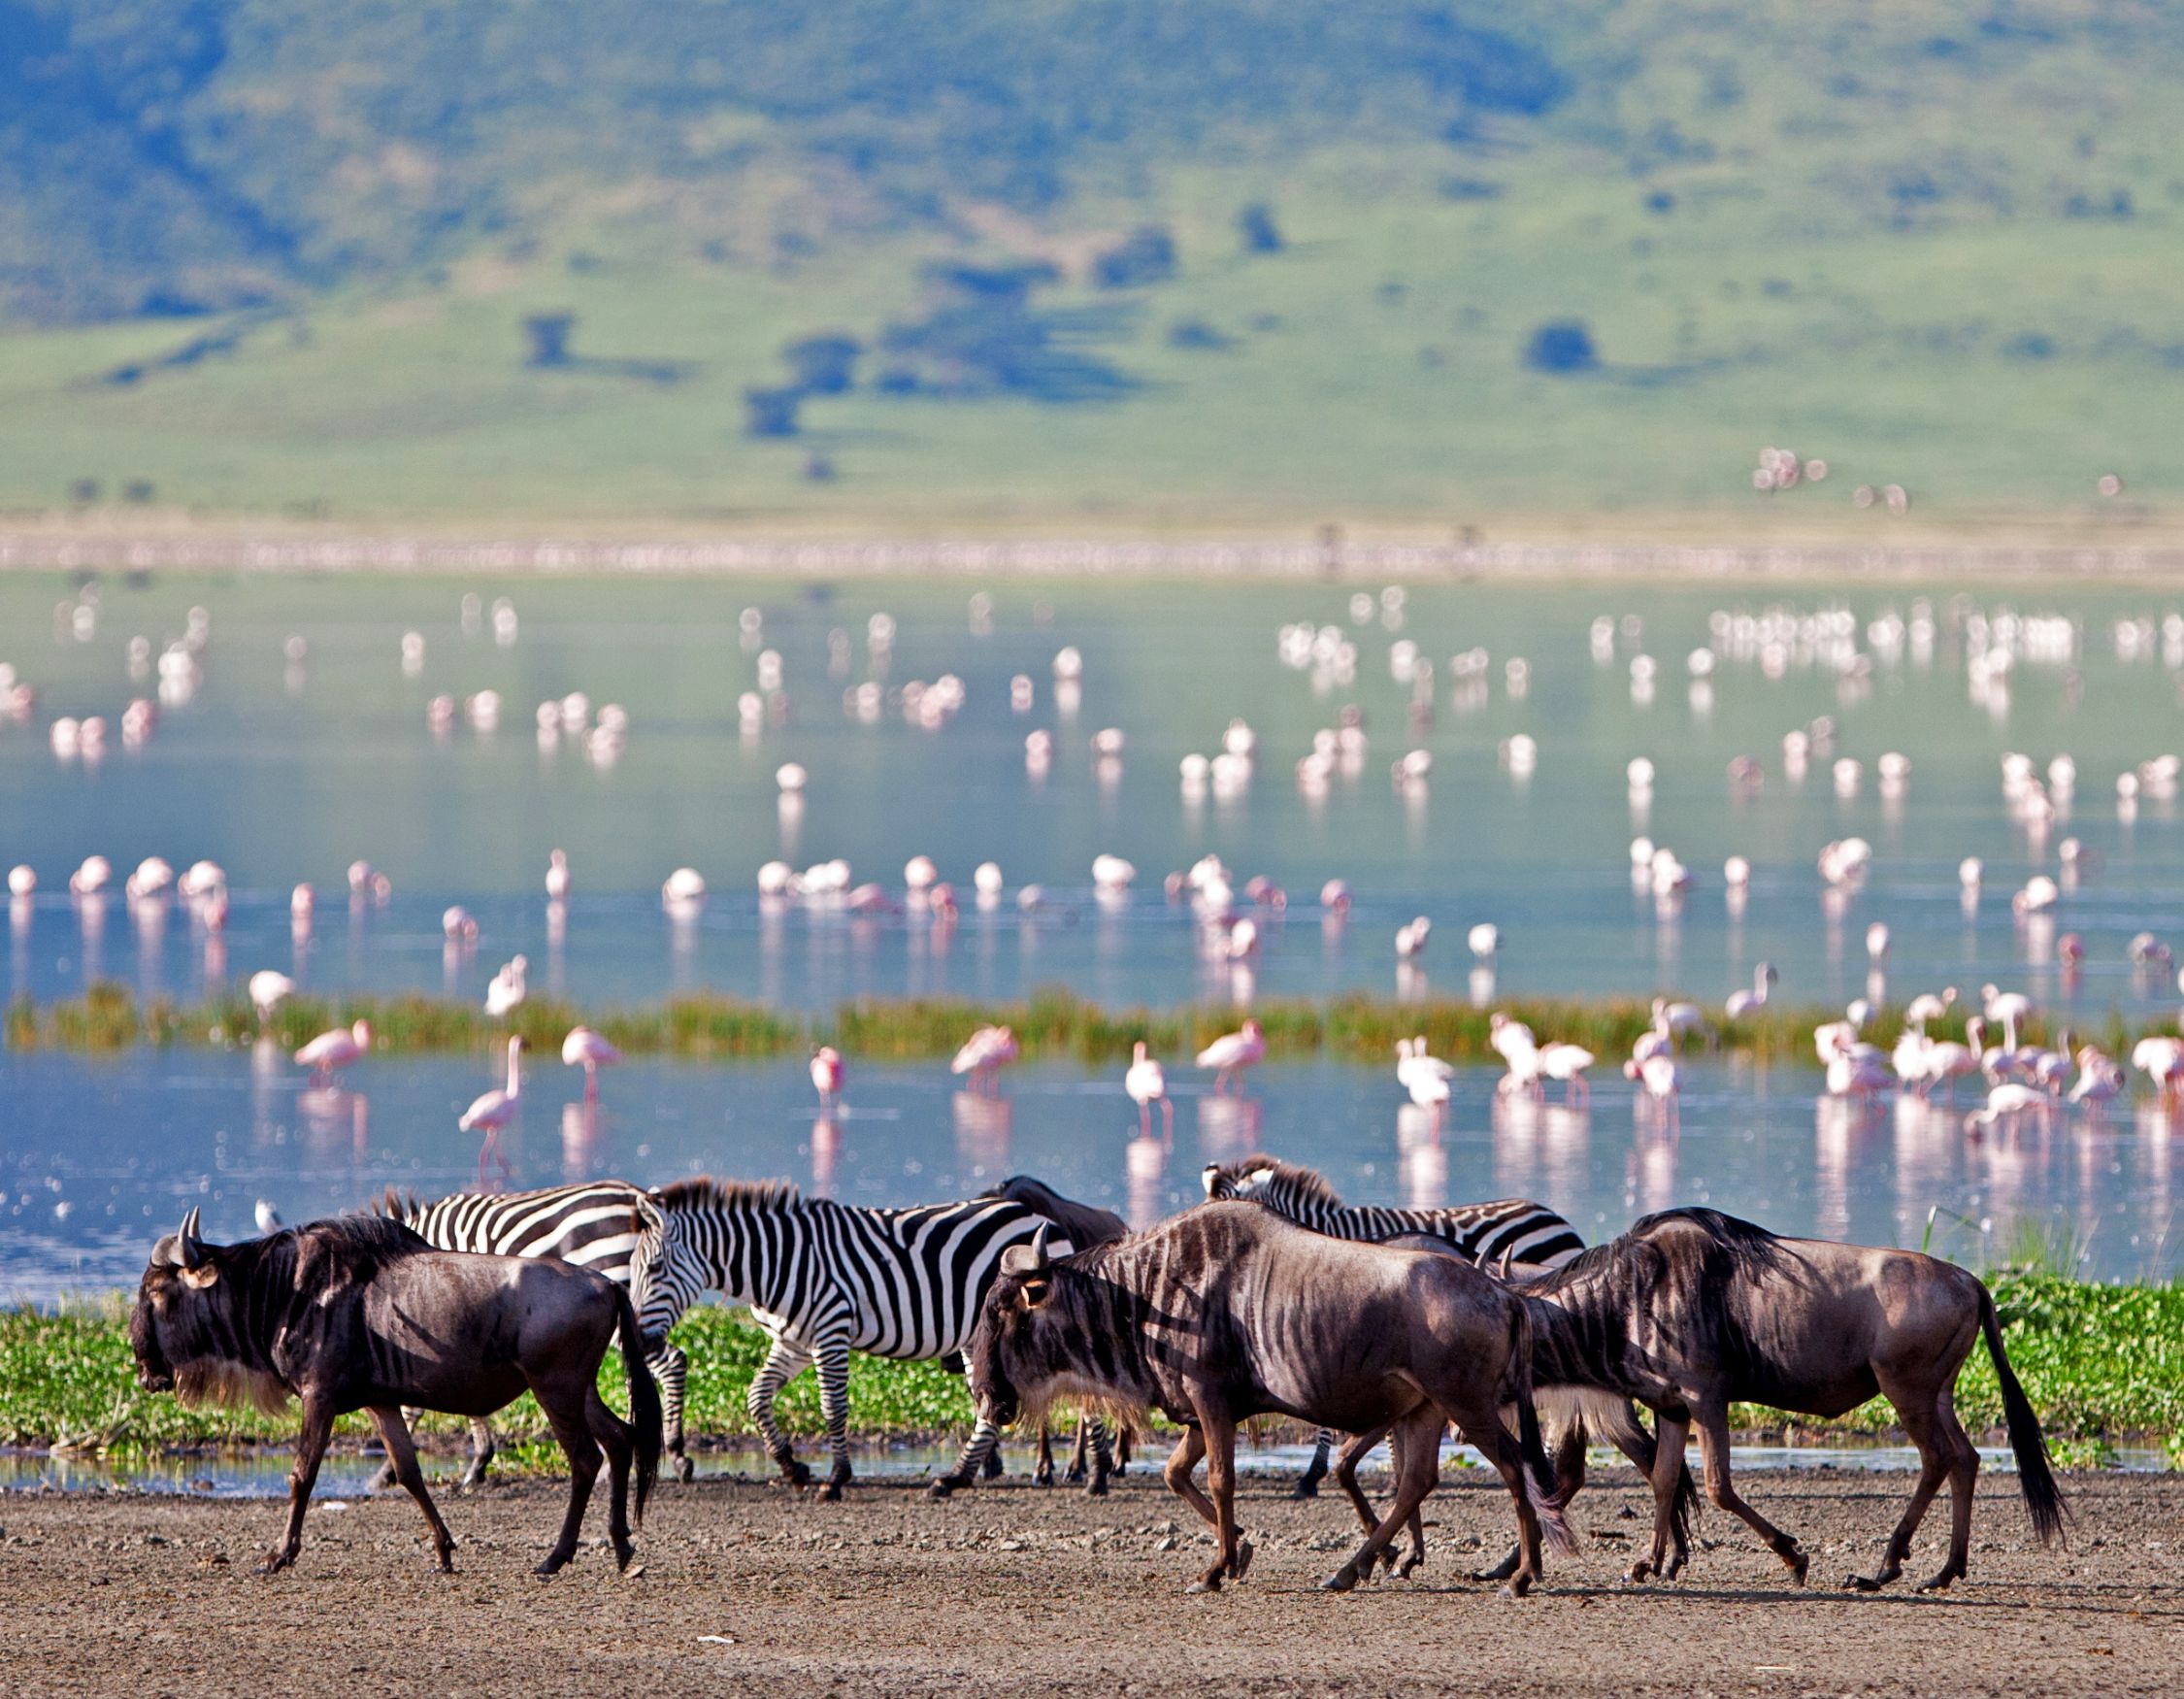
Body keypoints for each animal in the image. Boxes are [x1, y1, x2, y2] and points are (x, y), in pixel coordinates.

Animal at [629, 1176, 1074, 1500]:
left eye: (654, 1268)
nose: (641, 1342)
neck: (775, 1262)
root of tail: (1040, 1218)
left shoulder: (832, 1331)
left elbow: (833, 1408)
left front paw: (836, 1478)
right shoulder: (792, 1343)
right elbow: (756, 1397)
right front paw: (793, 1467)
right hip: (975, 1337)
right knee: (987, 1404)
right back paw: (954, 1478)